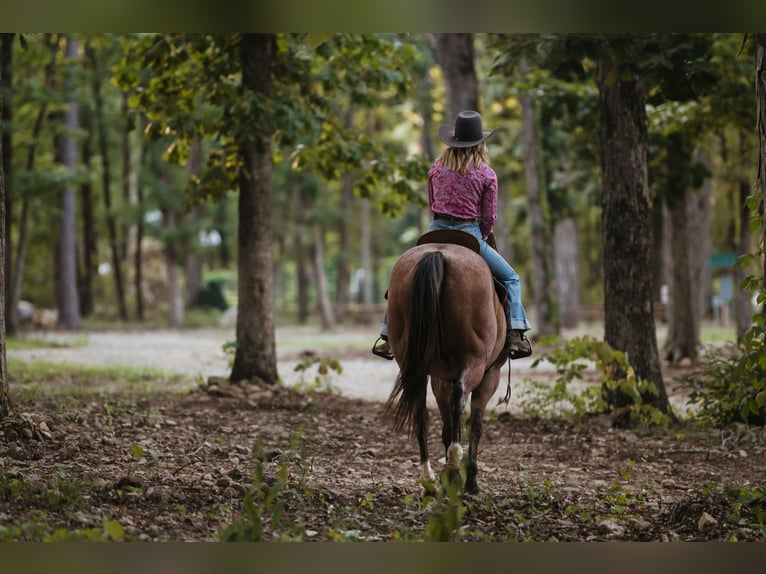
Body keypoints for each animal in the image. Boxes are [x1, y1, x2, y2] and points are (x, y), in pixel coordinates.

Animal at [384, 230, 510, 496]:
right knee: (460, 401)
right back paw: (453, 469)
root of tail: (438, 254)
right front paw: (471, 482)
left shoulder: (440, 377)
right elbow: (474, 425)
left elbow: (446, 427)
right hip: (474, 361)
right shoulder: (489, 376)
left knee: (419, 413)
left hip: (413, 365)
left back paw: (430, 480)